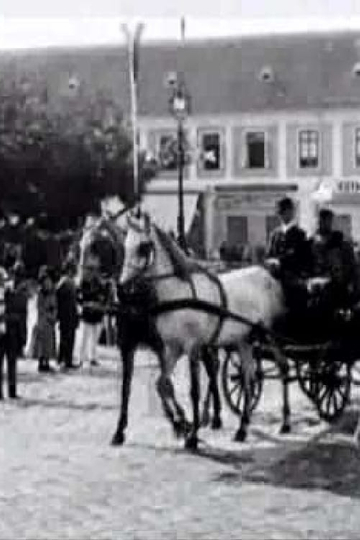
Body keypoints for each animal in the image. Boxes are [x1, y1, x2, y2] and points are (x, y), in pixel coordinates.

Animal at [115, 209, 290, 450]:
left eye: (143, 246)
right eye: (124, 245)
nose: (122, 287)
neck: (179, 294)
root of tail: (266, 273)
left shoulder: (193, 348)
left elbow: (194, 391)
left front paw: (192, 435)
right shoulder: (171, 348)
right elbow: (162, 384)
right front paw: (182, 424)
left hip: (271, 337)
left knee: (283, 367)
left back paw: (285, 422)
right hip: (244, 339)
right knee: (248, 378)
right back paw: (242, 428)